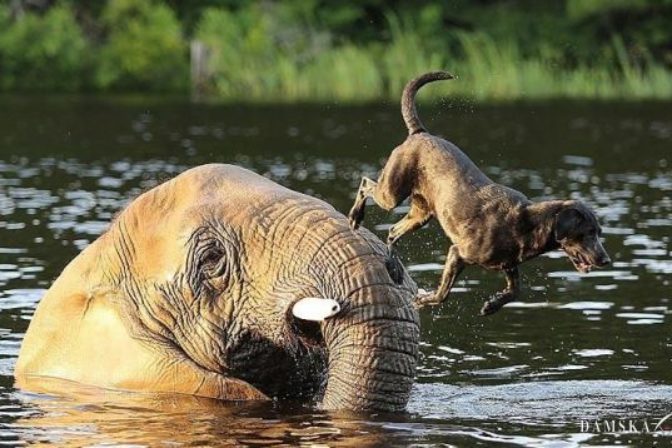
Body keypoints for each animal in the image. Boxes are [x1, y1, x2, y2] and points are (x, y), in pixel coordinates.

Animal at [350, 71, 612, 316]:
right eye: (588, 233)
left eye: (599, 232)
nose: (607, 260)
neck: (527, 223)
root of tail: (419, 133)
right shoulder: (458, 253)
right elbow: (443, 293)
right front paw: (424, 300)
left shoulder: (508, 264)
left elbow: (516, 290)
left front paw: (492, 305)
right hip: (392, 192)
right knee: (365, 184)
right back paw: (355, 217)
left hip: (421, 214)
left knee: (393, 231)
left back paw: (393, 267)